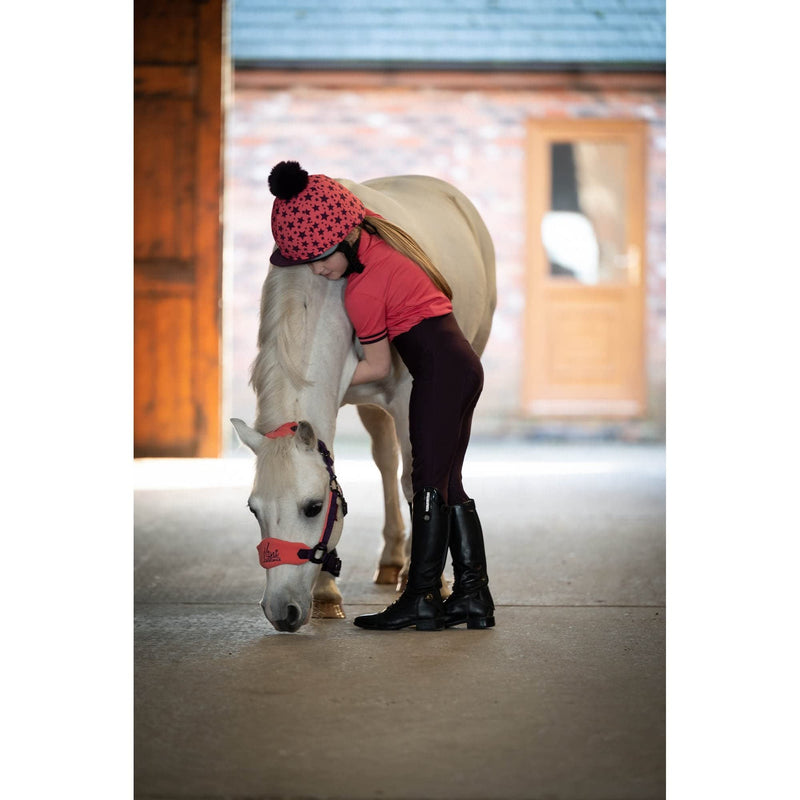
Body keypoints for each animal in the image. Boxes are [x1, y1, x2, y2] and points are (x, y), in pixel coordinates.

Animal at [230, 177, 494, 632]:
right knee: (387, 462)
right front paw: (325, 594)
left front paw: (429, 588)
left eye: (313, 507)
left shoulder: (407, 398)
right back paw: (391, 562)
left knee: (430, 473)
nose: (282, 612)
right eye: (253, 509)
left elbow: (417, 482)